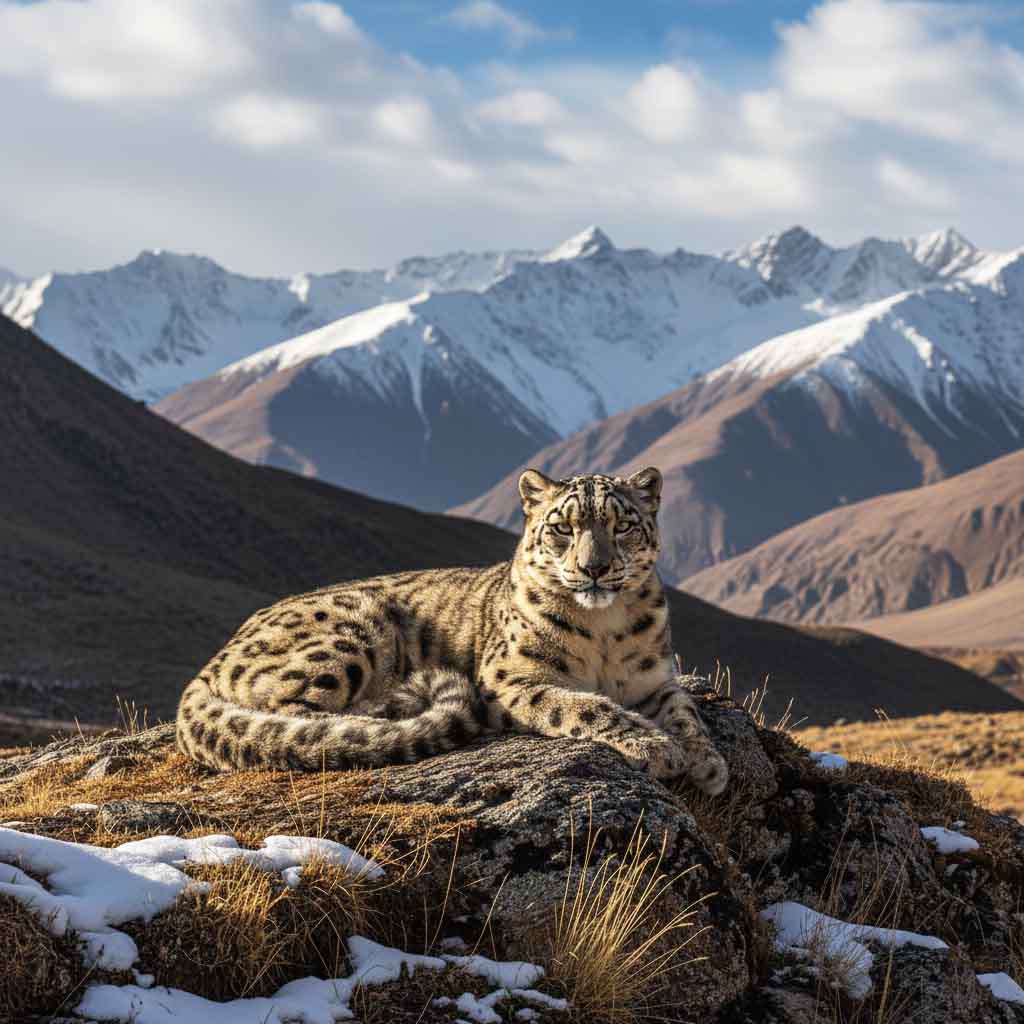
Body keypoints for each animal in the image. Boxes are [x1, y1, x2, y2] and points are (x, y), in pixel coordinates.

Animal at [175, 466, 729, 794]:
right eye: (562, 527)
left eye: (623, 526)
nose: (594, 569)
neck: (604, 630)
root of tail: (214, 658)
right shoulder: (511, 679)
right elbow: (585, 706)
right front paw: (657, 749)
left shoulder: (654, 679)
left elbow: (685, 714)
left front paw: (707, 763)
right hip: (351, 630)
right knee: (291, 710)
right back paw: (385, 710)